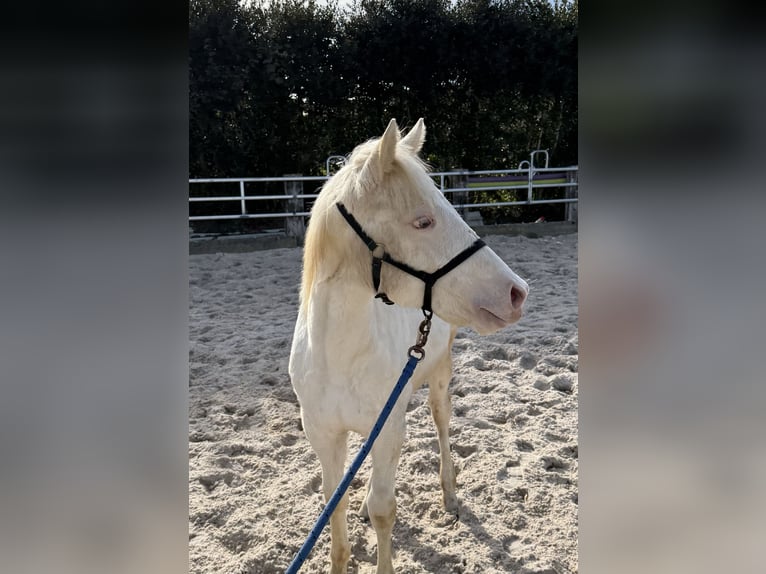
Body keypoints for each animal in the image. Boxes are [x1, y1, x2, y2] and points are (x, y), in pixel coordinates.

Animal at [288, 118, 528, 574]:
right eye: (422, 222)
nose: (516, 292)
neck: (341, 357)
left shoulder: (388, 429)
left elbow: (384, 510)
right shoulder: (324, 434)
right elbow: (335, 505)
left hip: (439, 378)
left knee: (441, 425)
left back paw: (449, 494)